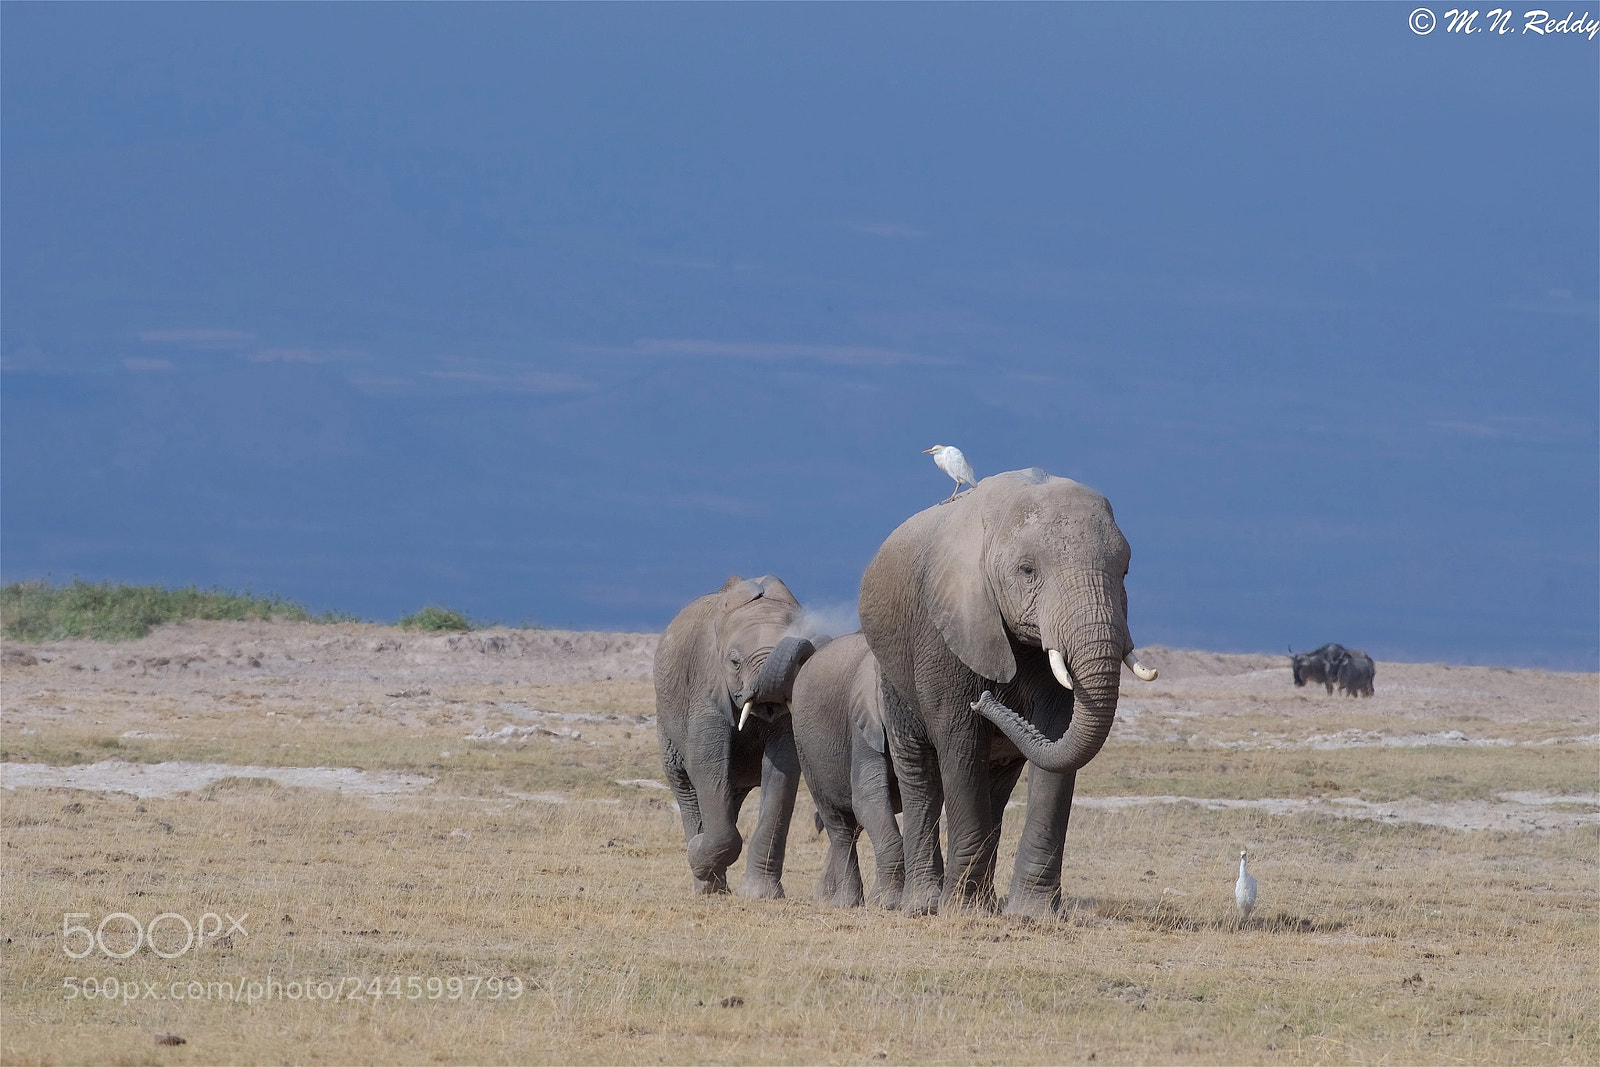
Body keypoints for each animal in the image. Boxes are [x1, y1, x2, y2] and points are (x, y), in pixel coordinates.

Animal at [655, 575, 818, 897]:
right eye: (734, 662)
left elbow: (783, 766)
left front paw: (761, 895)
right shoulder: (705, 682)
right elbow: (705, 760)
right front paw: (698, 853)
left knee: (731, 793)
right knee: (685, 785)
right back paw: (706, 885)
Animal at [789, 632, 905, 909]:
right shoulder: (860, 723)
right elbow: (867, 800)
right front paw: (888, 904)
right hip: (804, 748)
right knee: (839, 824)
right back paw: (844, 903)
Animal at [859, 468, 1158, 917]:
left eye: (1124, 572)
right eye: (1027, 571)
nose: (987, 701)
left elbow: (1055, 738)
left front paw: (1032, 913)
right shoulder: (947, 628)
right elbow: (960, 742)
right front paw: (961, 912)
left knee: (995, 788)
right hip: (891, 670)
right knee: (919, 771)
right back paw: (925, 903)